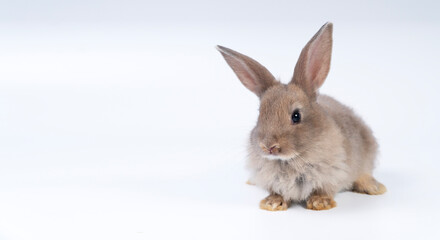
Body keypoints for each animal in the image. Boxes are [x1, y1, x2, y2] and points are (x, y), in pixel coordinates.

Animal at [216, 22, 384, 210]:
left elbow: (324, 189)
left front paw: (320, 203)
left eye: (296, 116)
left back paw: (374, 187)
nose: (268, 147)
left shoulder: (333, 173)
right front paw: (272, 203)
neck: (289, 159)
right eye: (260, 113)